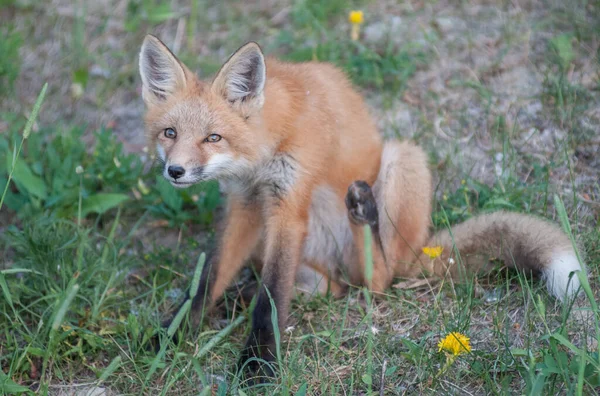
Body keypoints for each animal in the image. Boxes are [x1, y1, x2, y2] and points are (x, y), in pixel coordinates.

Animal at [138, 34, 584, 378]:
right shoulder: (245, 205)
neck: (265, 150)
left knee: (380, 278)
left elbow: (272, 301)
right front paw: (169, 337)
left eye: (213, 138)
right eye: (170, 133)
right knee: (331, 287)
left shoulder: (288, 207)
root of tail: (423, 250)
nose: (175, 171)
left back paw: (364, 219)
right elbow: (207, 282)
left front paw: (258, 365)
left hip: (402, 161)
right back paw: (250, 293)